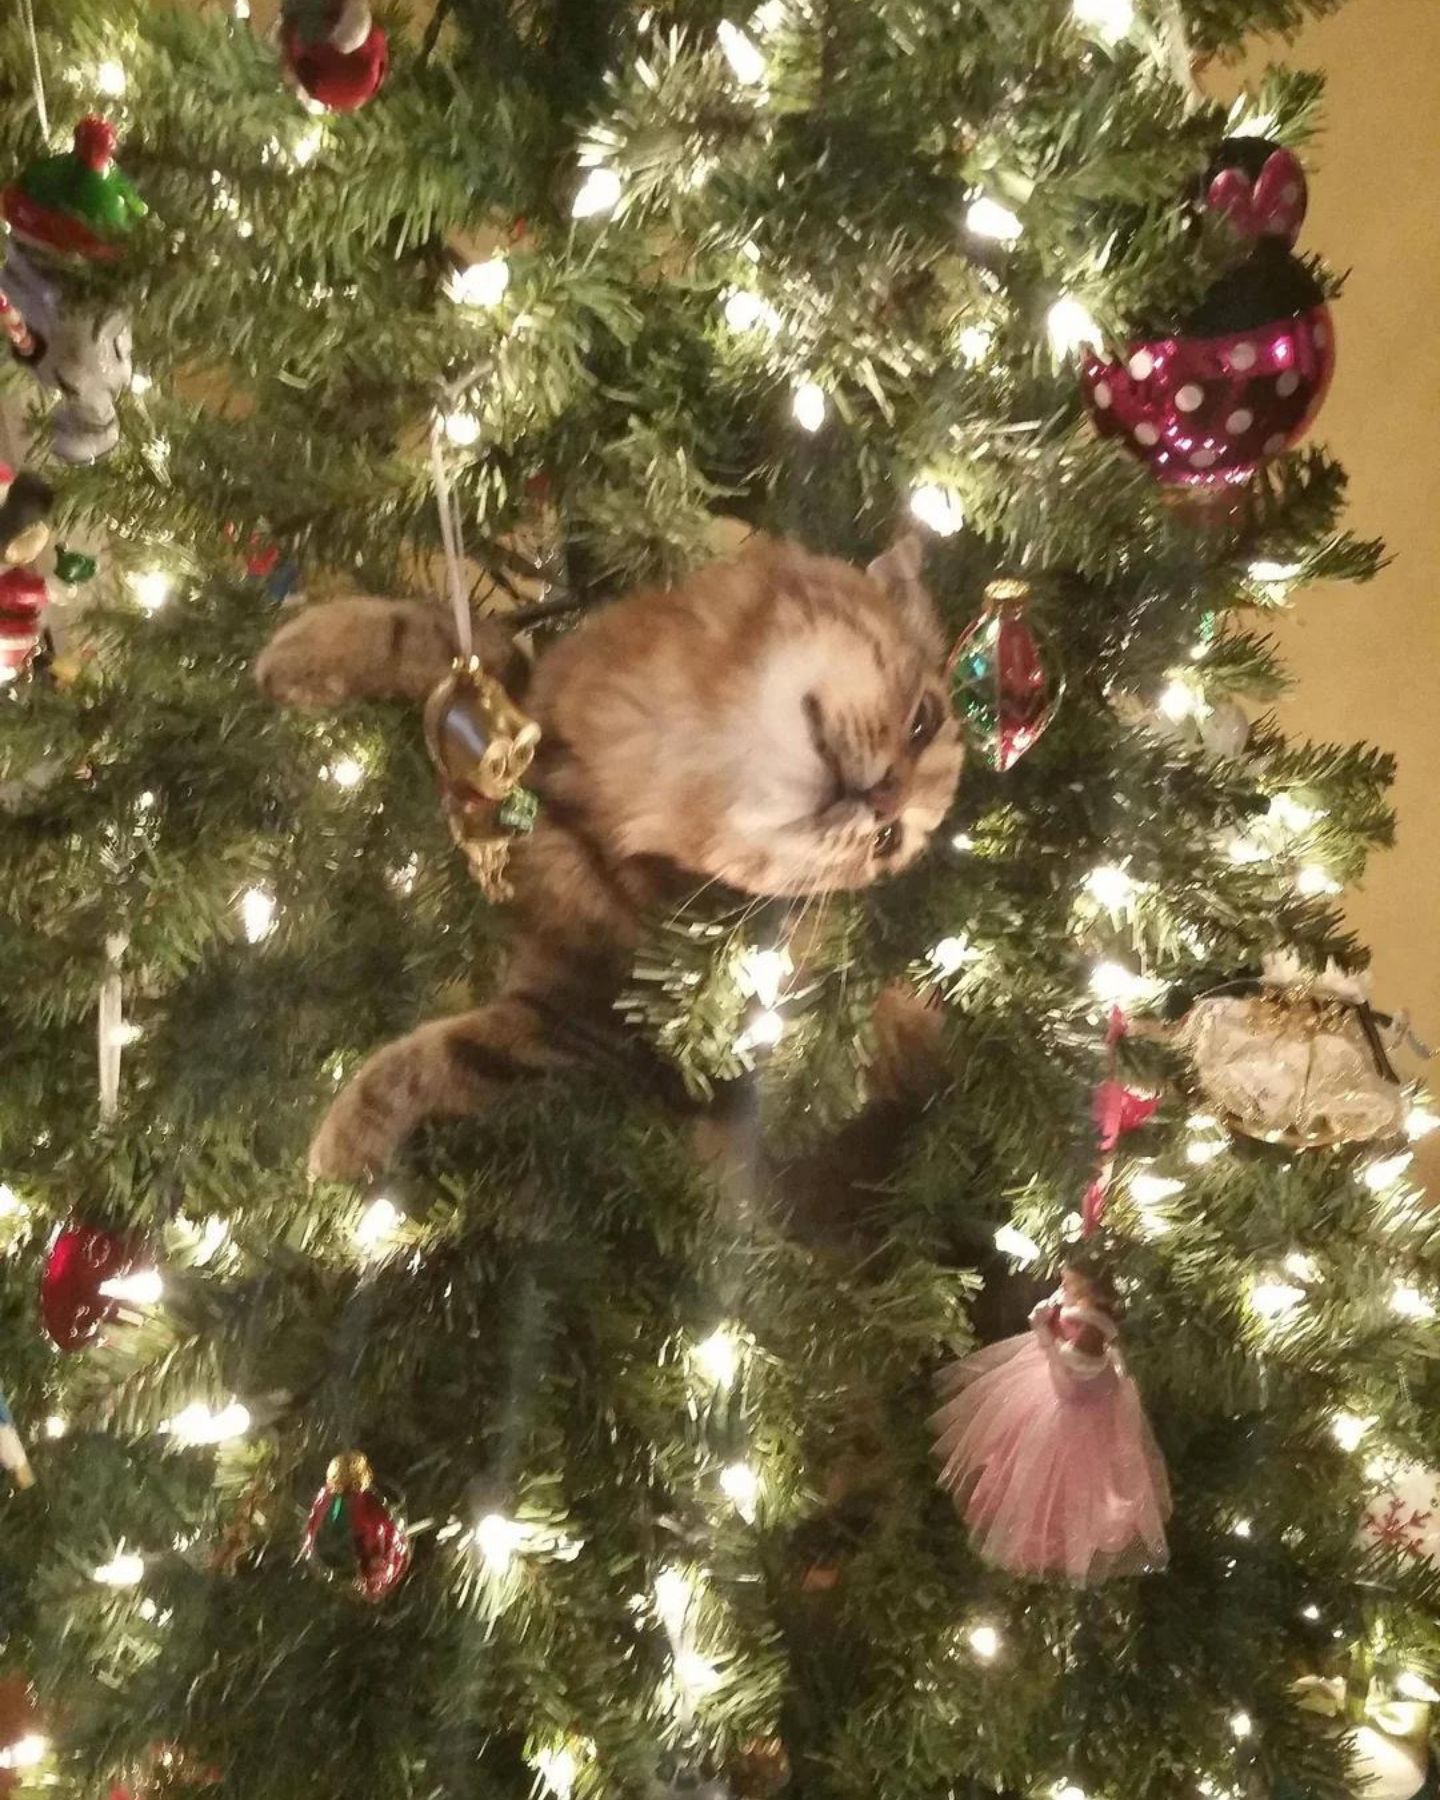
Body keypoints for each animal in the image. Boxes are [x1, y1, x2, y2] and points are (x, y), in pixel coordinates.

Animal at [253, 532, 964, 1180]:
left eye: (886, 846)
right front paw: (301, 650)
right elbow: (454, 641)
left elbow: (451, 1054)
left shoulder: (601, 1028)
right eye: (923, 721)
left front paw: (343, 1147)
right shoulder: (527, 720)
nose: (886, 804)